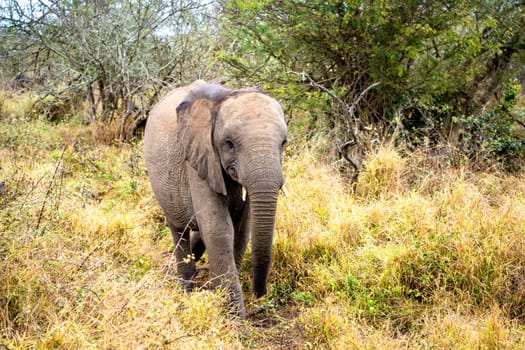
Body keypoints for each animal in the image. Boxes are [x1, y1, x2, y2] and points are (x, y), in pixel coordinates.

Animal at [143, 79, 288, 318]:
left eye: (284, 143)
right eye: (229, 143)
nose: (260, 293)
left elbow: (242, 229)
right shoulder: (198, 158)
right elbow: (218, 229)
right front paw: (235, 322)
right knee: (178, 229)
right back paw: (187, 288)